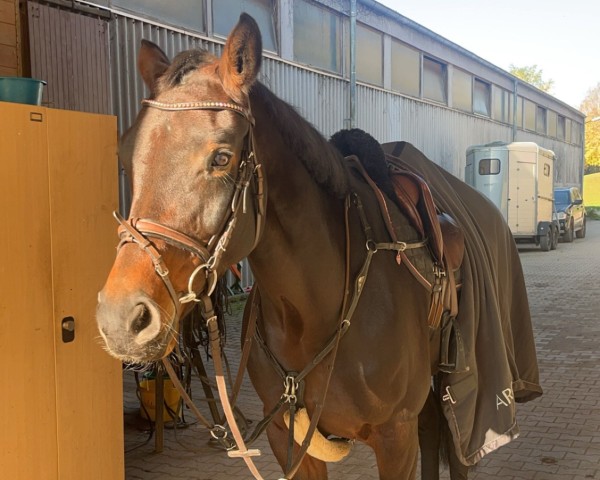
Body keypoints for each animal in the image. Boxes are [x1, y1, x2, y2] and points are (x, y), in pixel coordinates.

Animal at [96, 13, 540, 478]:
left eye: (221, 157)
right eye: (126, 154)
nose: (121, 319)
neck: (311, 313)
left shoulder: (395, 439)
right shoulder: (286, 438)